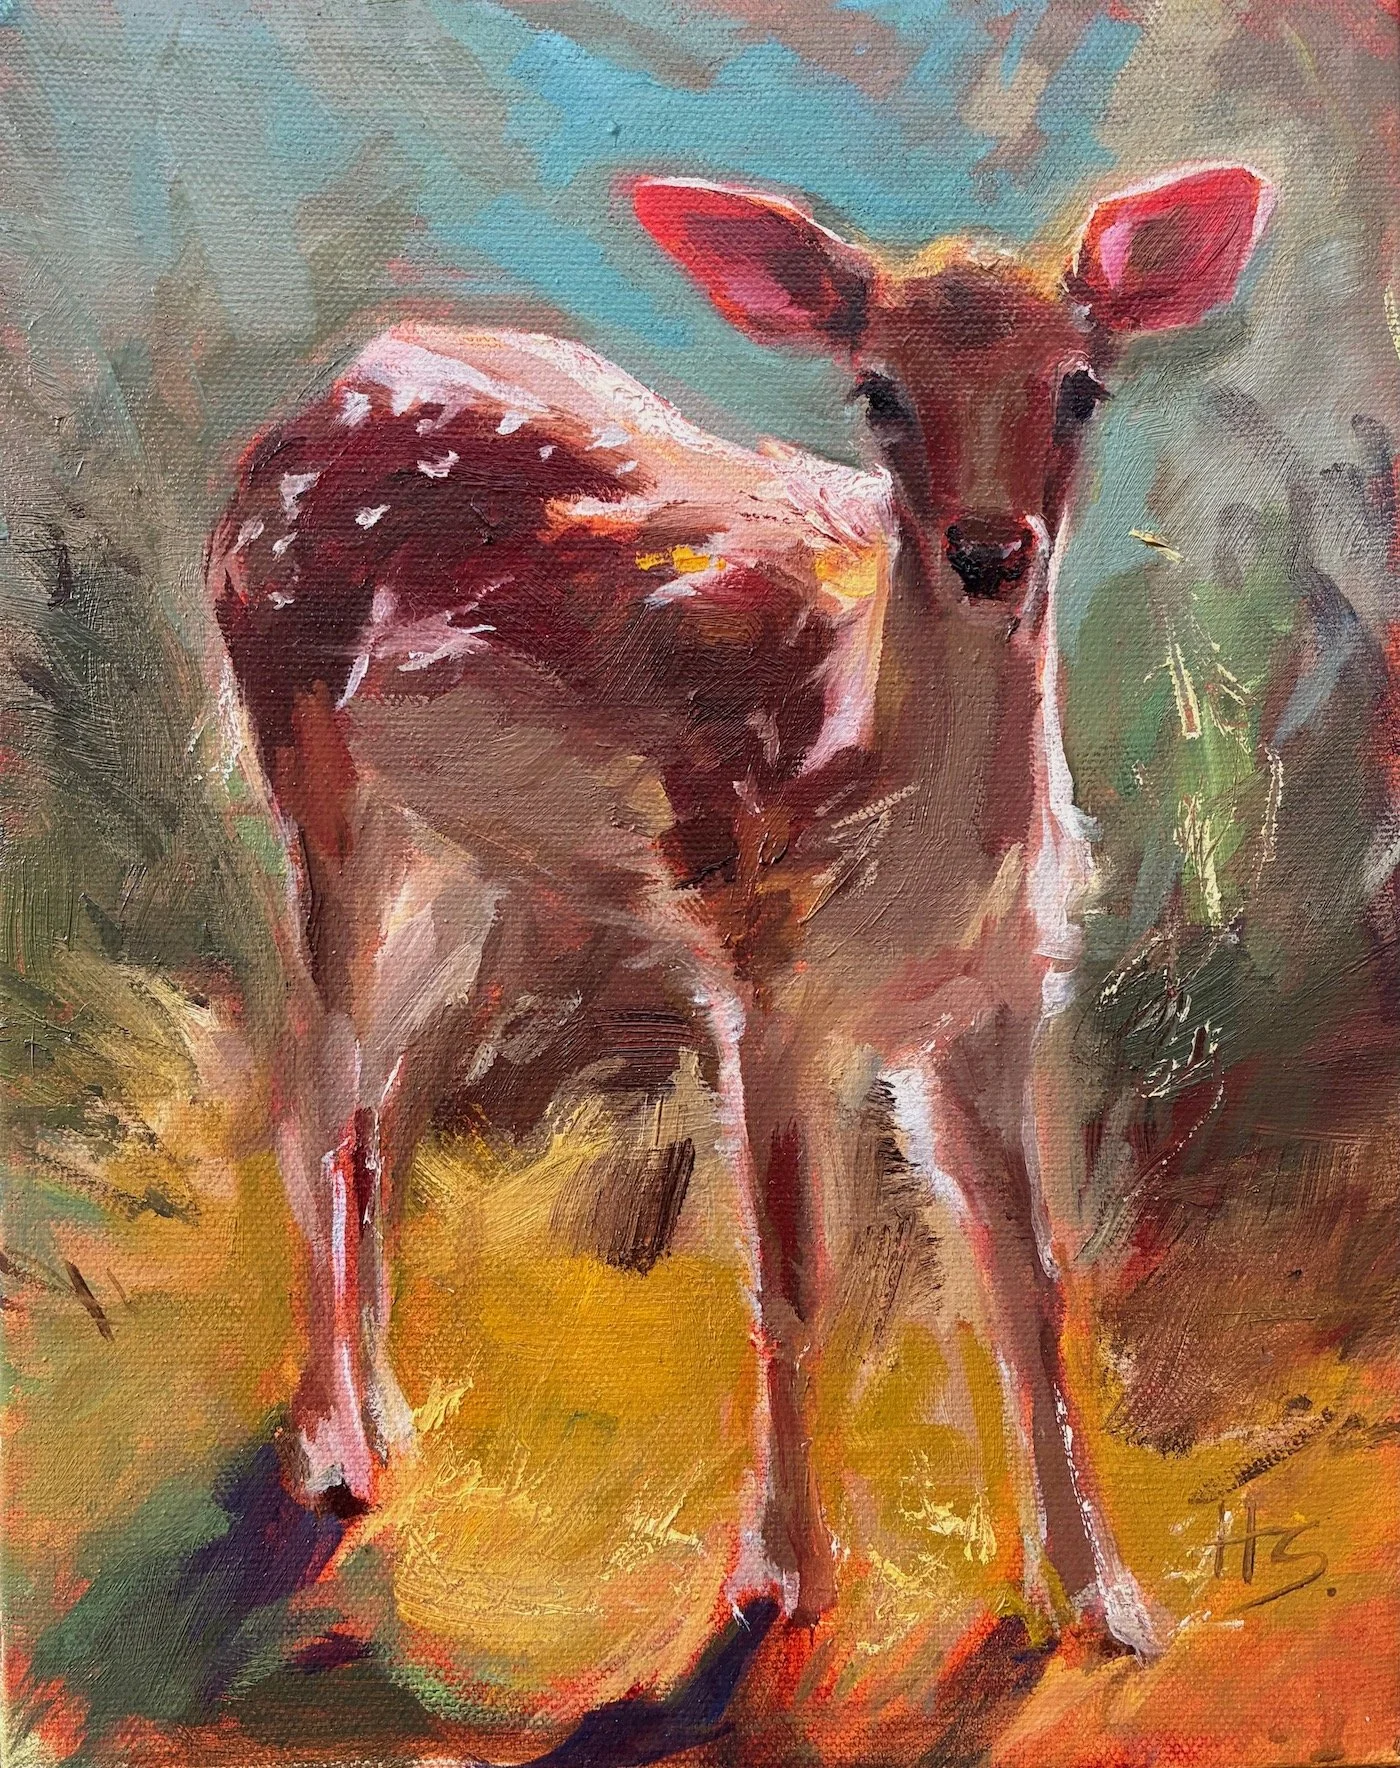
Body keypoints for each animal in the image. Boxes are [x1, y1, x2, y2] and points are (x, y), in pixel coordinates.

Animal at [209, 163, 1274, 1658]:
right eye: (876, 391)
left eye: (1081, 386)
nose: (988, 550)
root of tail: (320, 388)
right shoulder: (759, 965)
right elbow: (790, 1275)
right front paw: (780, 1578)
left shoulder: (996, 1000)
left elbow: (1030, 1279)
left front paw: (1107, 1602)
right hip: (307, 769)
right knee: (310, 1084)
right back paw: (330, 1453)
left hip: (478, 871)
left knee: (381, 1102)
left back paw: (392, 1423)